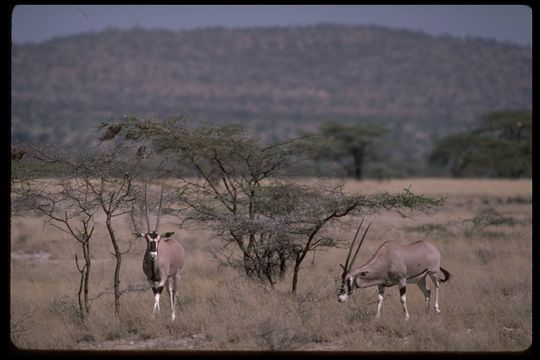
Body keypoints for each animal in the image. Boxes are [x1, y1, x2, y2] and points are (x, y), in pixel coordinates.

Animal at [136, 186, 187, 320]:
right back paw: (171, 314)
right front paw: (157, 314)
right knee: (170, 291)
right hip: (169, 276)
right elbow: (155, 294)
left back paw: (173, 316)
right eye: (147, 239)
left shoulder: (162, 278)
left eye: (158, 240)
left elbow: (158, 295)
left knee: (175, 291)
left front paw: (154, 315)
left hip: (177, 274)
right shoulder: (151, 279)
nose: (153, 255)